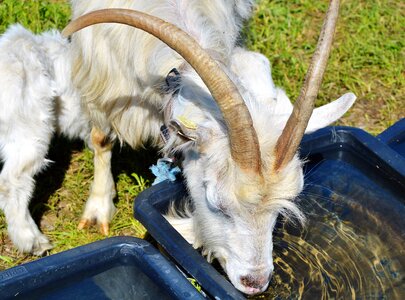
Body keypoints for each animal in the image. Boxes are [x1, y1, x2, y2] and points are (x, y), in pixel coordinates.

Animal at [64, 0, 354, 296]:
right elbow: (101, 138)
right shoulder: (101, 80)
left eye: (279, 210)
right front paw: (98, 209)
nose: (255, 284)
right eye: (217, 203)